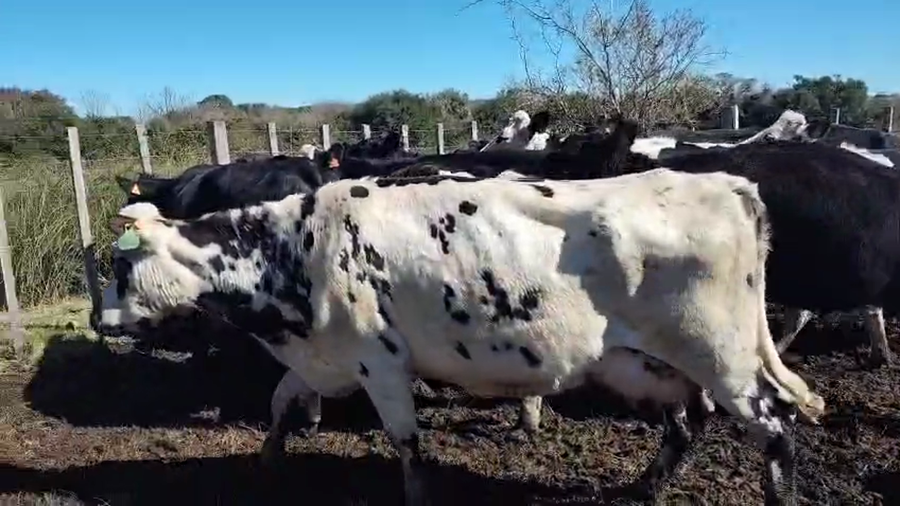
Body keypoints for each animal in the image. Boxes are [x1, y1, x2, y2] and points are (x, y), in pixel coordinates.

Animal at [94, 169, 823, 506]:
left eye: (122, 267)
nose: (98, 321)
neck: (294, 250)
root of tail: (724, 182)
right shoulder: (323, 356)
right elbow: (278, 401)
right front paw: (269, 460)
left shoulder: (379, 359)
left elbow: (406, 442)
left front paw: (416, 494)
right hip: (649, 361)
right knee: (687, 424)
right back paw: (643, 488)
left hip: (721, 355)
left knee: (776, 427)